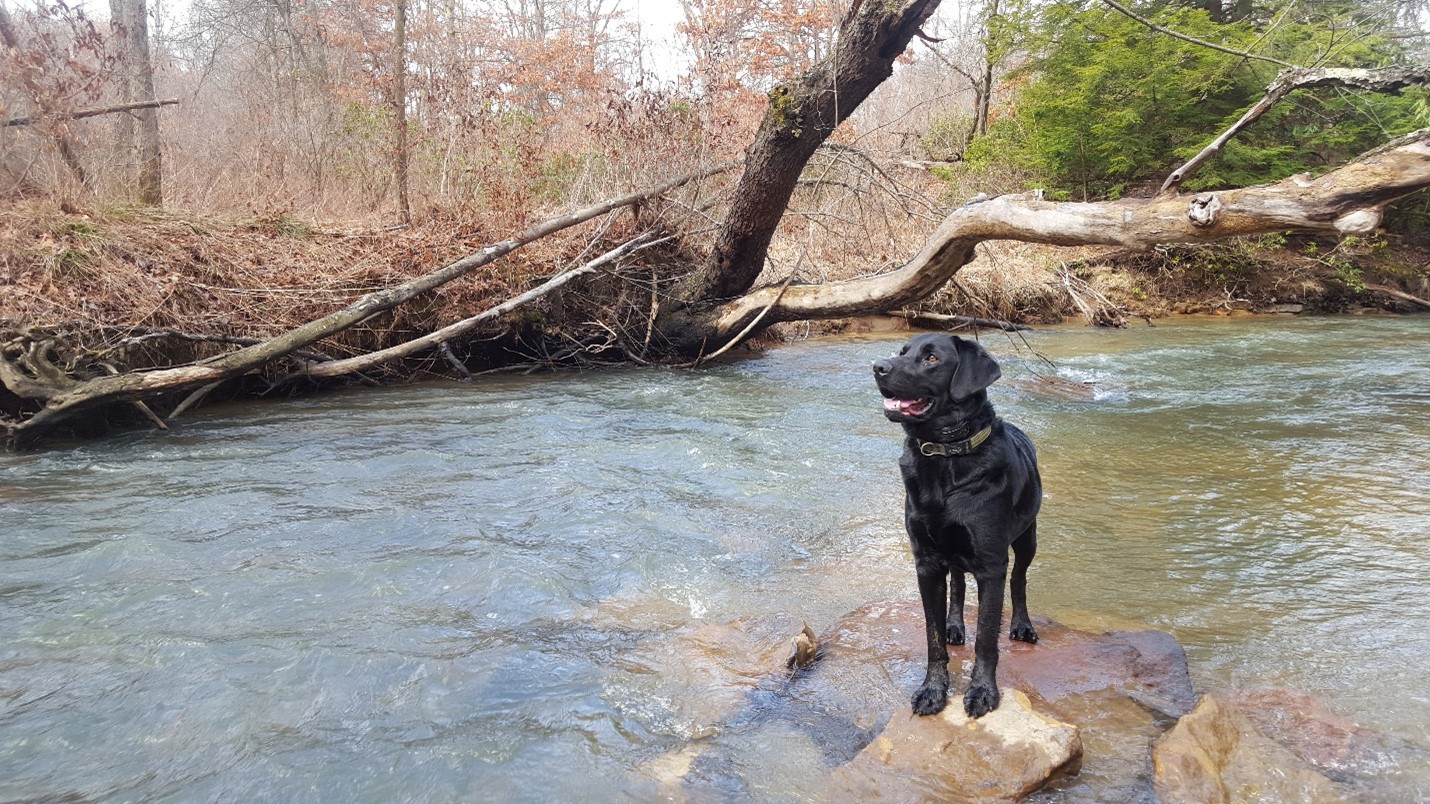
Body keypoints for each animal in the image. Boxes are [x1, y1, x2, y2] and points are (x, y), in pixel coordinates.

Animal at [869, 329, 1041, 715]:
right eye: (903, 351)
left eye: (932, 358)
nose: (878, 367)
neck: (944, 458)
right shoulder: (926, 562)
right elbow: (932, 636)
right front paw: (932, 689)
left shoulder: (992, 564)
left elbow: (987, 638)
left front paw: (982, 691)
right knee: (959, 586)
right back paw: (954, 625)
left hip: (1028, 537)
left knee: (1020, 580)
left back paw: (1022, 625)